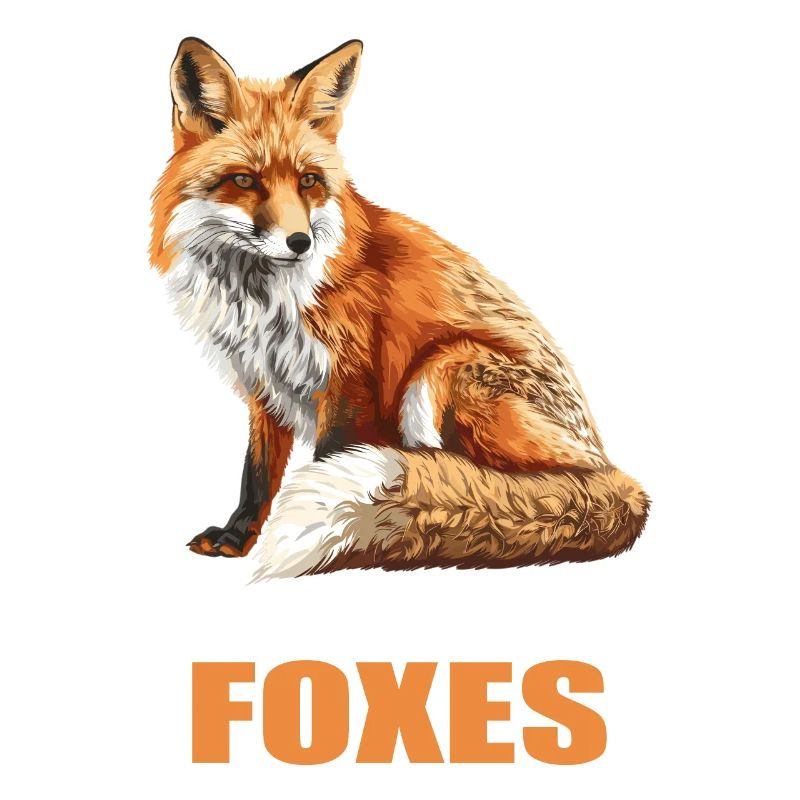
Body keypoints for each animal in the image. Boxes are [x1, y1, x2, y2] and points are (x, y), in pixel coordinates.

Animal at [150, 37, 649, 579]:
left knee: (480, 480)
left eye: (308, 181)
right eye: (244, 180)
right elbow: (256, 476)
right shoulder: (265, 384)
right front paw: (238, 537)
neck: (262, 298)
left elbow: (327, 461)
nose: (300, 243)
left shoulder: (349, 383)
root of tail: (614, 472)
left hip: (443, 369)